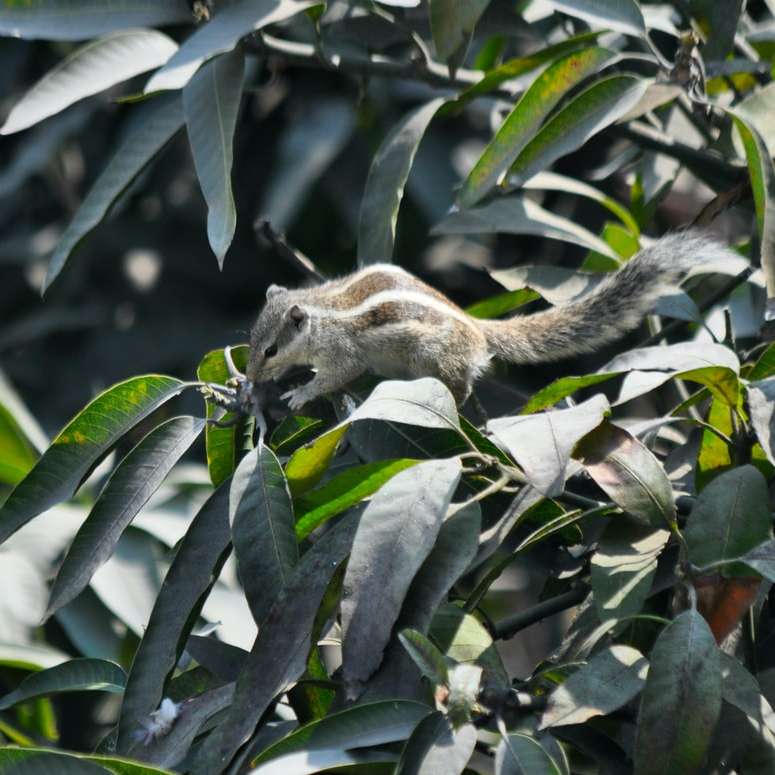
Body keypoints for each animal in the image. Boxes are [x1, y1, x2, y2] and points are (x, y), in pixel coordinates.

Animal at [246, 229, 736, 410]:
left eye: (270, 349)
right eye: (250, 340)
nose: (250, 378)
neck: (320, 310)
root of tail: (477, 330)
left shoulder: (343, 350)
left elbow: (338, 373)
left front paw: (302, 392)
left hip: (432, 354)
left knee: (460, 386)